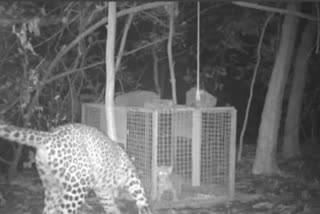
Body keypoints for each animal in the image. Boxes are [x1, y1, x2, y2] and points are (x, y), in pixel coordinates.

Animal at [0, 122, 153, 214]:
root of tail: (51, 136)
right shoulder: (130, 175)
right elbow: (140, 195)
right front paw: (145, 209)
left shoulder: (103, 191)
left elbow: (111, 206)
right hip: (78, 185)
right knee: (63, 211)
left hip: (52, 186)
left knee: (48, 210)